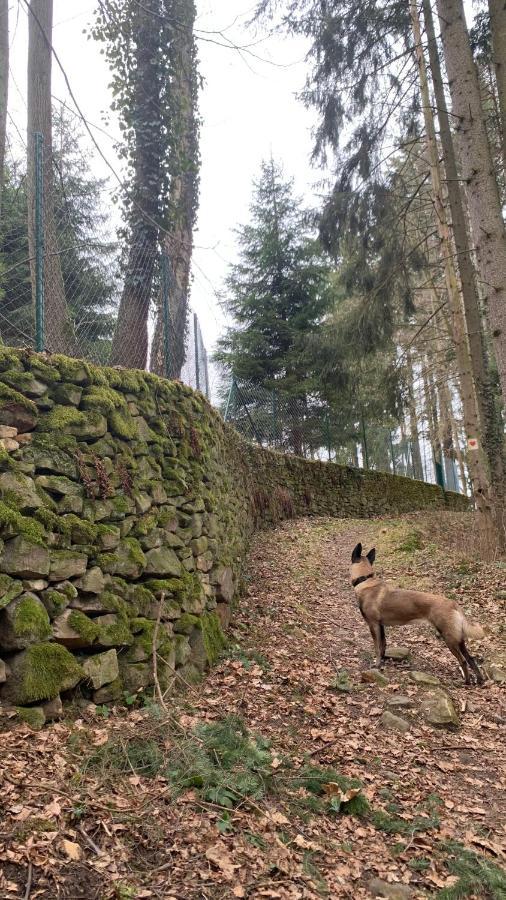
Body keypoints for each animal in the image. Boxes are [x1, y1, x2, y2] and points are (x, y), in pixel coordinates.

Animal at [350, 544, 484, 684]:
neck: (365, 580)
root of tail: (452, 603)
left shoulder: (374, 625)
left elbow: (377, 647)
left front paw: (376, 665)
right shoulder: (381, 626)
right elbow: (383, 645)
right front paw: (382, 662)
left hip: (449, 639)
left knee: (463, 661)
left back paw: (467, 682)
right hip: (459, 640)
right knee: (471, 659)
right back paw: (479, 680)